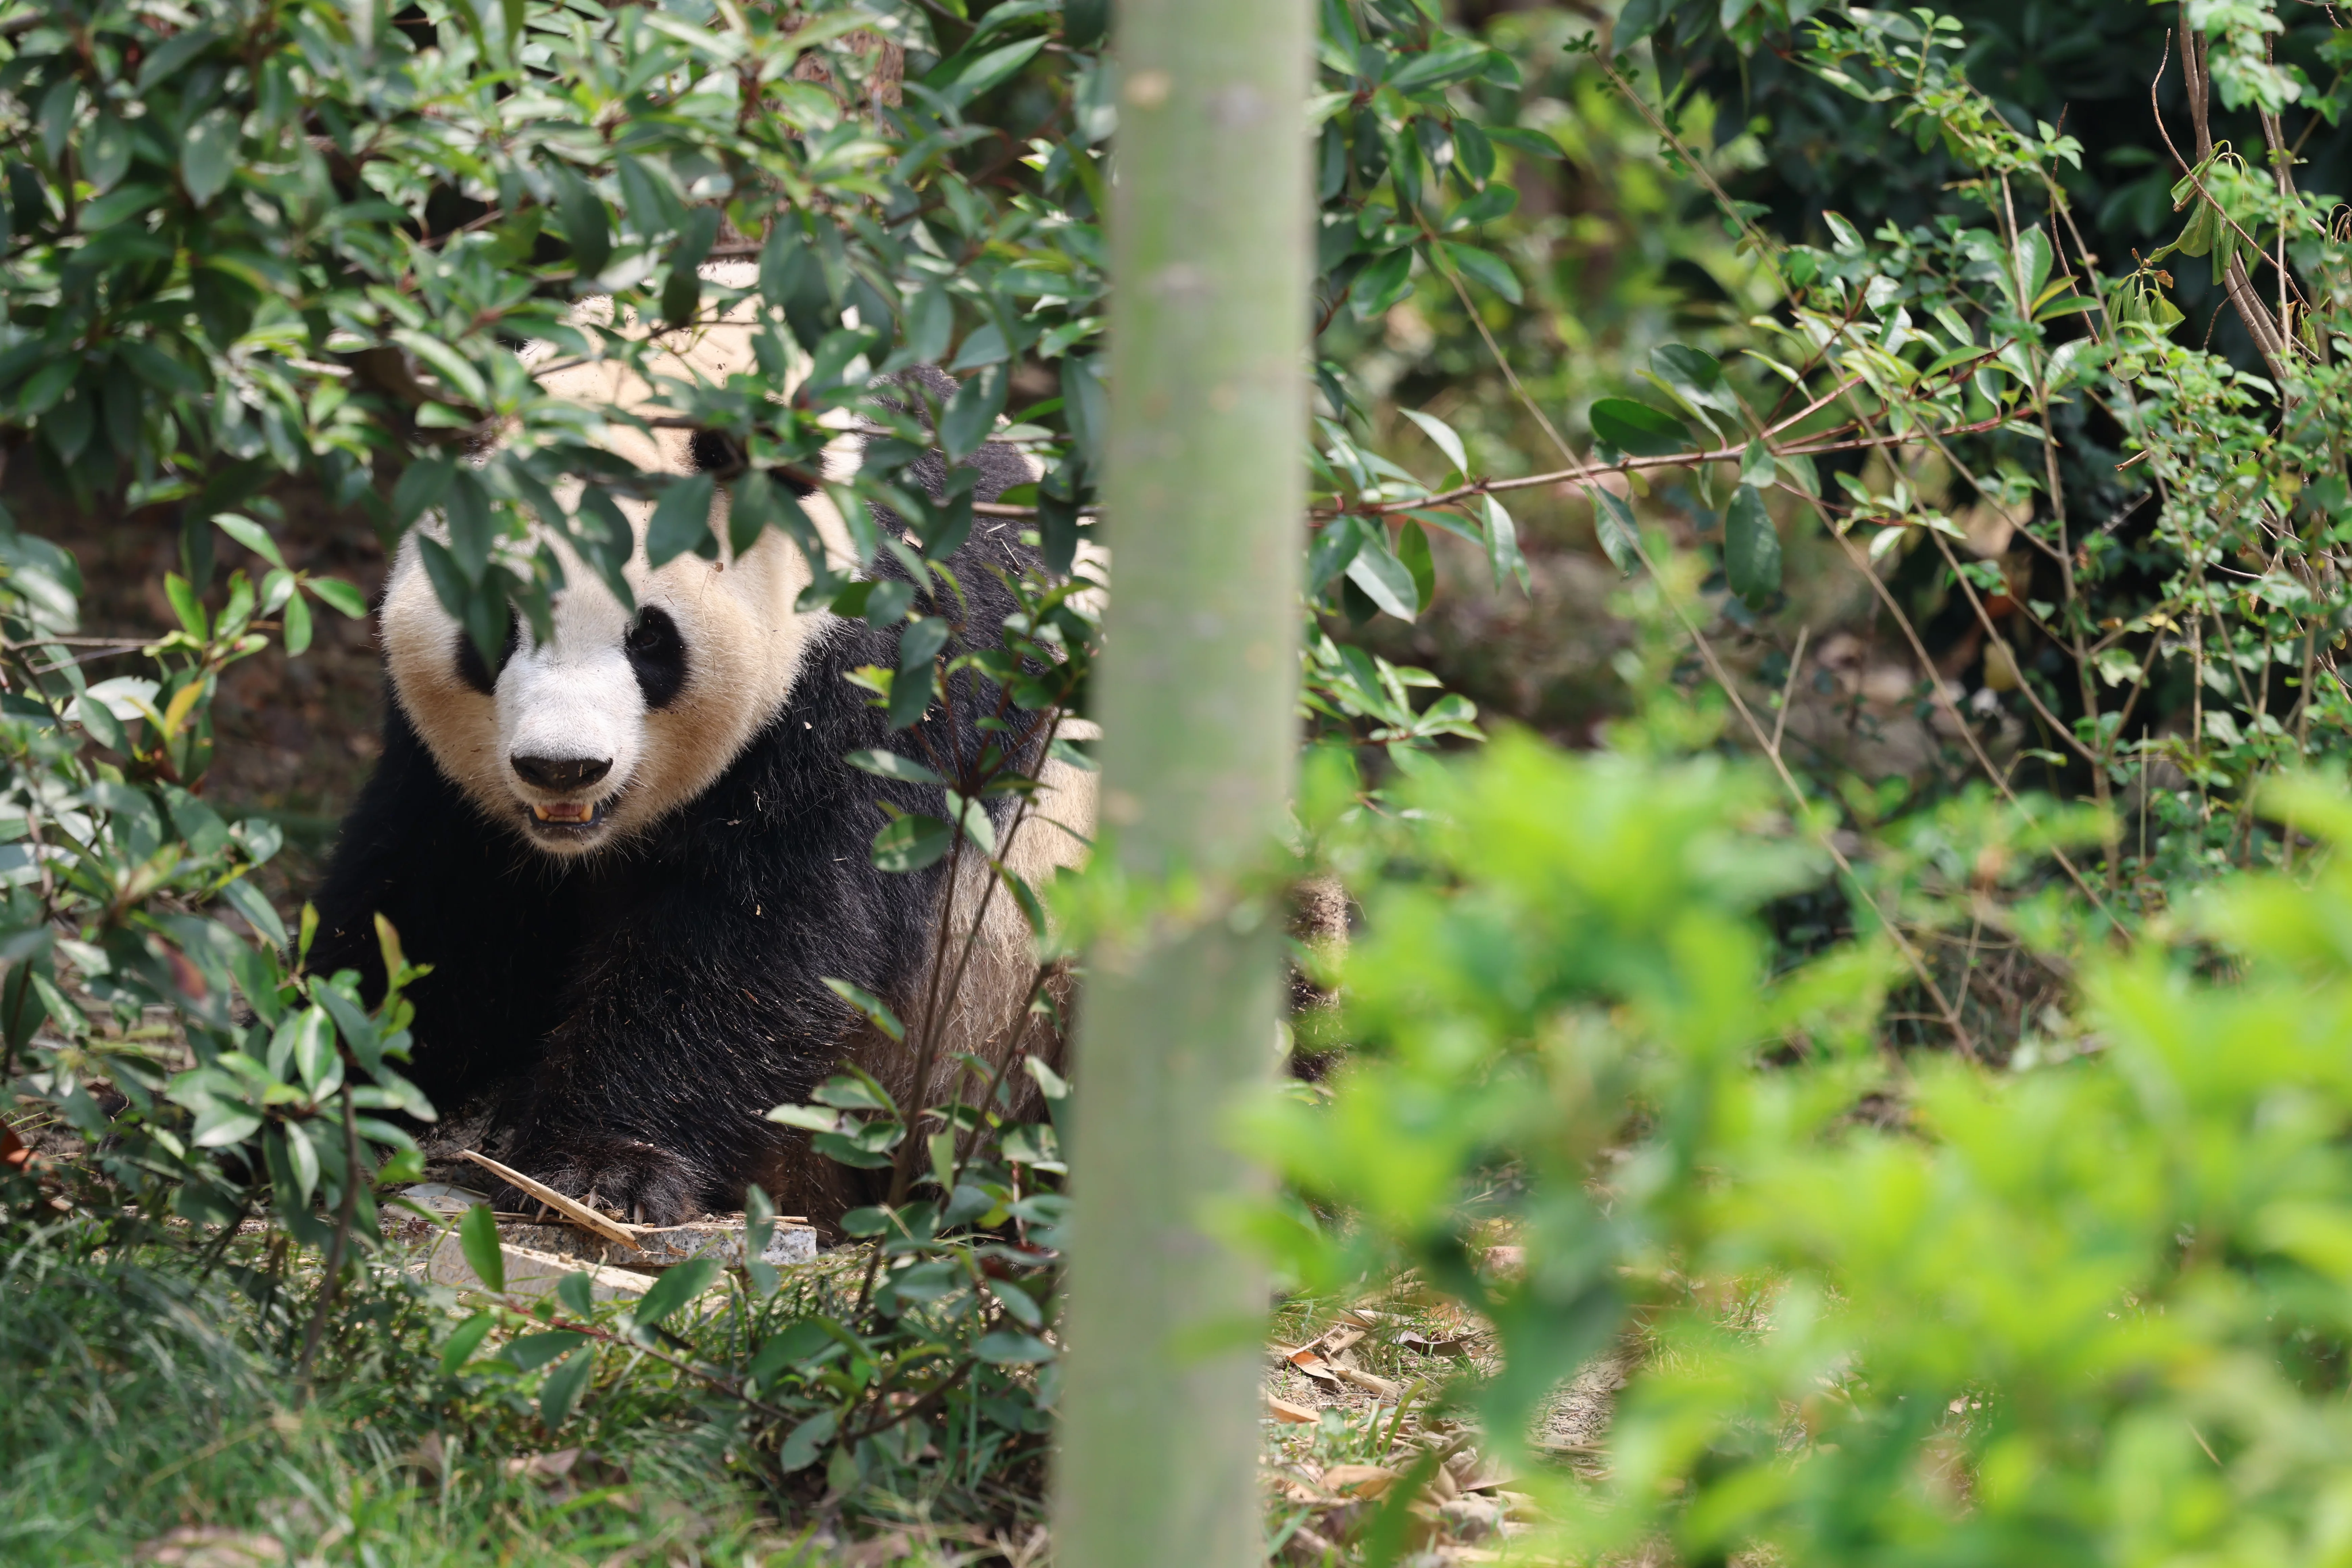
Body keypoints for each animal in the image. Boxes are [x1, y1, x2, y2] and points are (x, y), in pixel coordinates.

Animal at [305, 319, 1093, 1230]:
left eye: (649, 637)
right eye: (500, 623)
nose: (562, 768)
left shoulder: (889, 671)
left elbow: (767, 928)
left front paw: (598, 1169)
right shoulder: (444, 767)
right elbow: (436, 909)